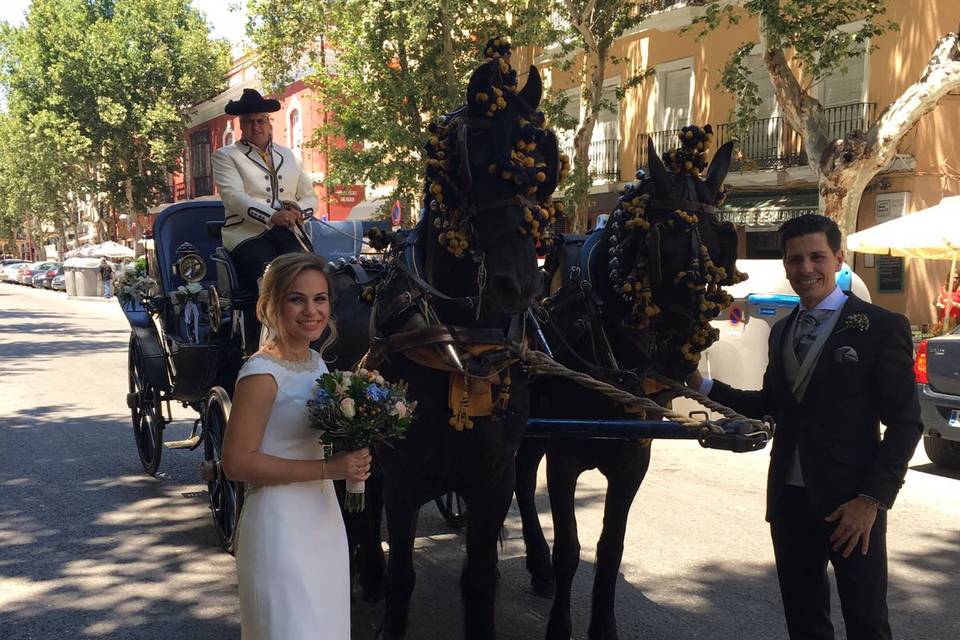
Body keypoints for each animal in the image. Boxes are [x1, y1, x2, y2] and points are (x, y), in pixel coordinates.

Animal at [342, 41, 568, 640]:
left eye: (545, 167)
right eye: (475, 162)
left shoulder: (493, 481)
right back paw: (366, 572)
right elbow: (404, 577)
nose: (522, 284)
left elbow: (481, 580)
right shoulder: (402, 478)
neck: (459, 341)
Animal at [516, 126, 744, 640]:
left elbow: (611, 547)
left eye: (723, 241)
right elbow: (570, 548)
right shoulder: (563, 458)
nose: (682, 363)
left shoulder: (632, 461)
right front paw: (560, 625)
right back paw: (537, 560)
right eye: (665, 242)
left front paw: (603, 624)